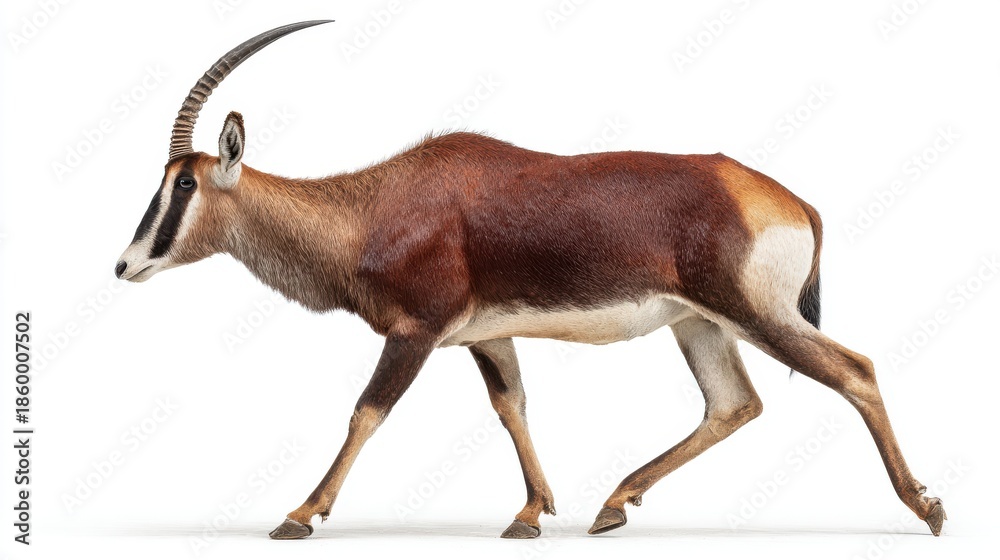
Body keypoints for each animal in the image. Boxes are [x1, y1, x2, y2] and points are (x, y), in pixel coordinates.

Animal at [115, 20, 946, 539]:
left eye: (184, 183)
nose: (125, 265)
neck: (376, 201)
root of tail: (787, 199)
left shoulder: (414, 334)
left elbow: (366, 412)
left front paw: (298, 514)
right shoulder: (488, 336)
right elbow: (511, 405)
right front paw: (530, 513)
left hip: (755, 316)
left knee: (854, 370)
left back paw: (926, 508)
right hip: (699, 325)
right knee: (734, 404)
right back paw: (613, 504)